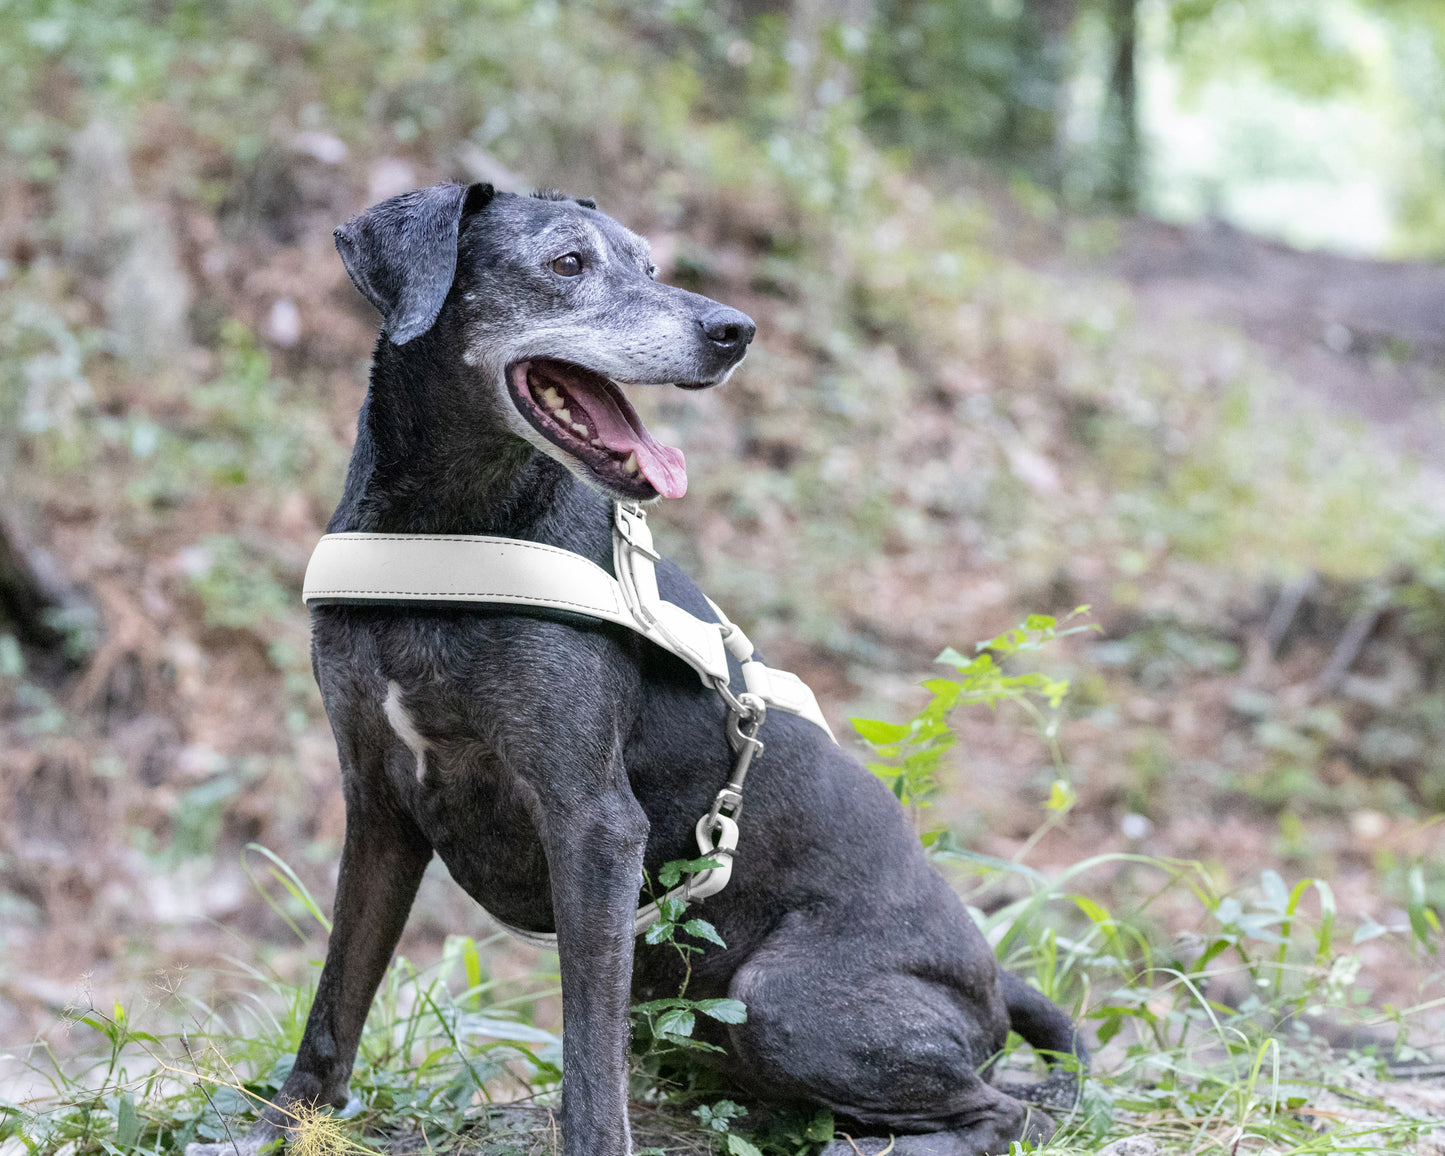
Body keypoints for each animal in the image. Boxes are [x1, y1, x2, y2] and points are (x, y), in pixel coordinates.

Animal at [183, 182, 1086, 1156]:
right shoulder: (379, 805)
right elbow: (335, 999)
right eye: (567, 263)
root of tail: (994, 981)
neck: (445, 531)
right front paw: (278, 1124)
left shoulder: (592, 823)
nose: (734, 329)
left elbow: (587, 1055)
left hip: (782, 999)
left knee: (1008, 1111)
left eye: (652, 265)